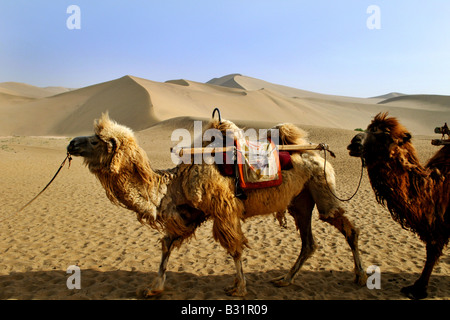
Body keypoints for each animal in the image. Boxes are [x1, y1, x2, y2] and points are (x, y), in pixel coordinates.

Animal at [68, 113, 368, 298]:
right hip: (300, 201)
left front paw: (239, 288)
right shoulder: (190, 213)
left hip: (322, 186)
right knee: (308, 242)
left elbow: (234, 248)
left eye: (95, 140)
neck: (176, 182)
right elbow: (167, 244)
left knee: (345, 226)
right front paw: (153, 287)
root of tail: (319, 153)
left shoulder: (224, 210)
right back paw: (285, 279)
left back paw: (361, 277)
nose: (71, 143)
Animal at [346, 111, 448, 298]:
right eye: (369, 128)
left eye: (385, 135)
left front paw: (418, 289)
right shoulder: (436, 223)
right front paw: (417, 287)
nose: (355, 141)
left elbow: (433, 251)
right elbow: (432, 250)